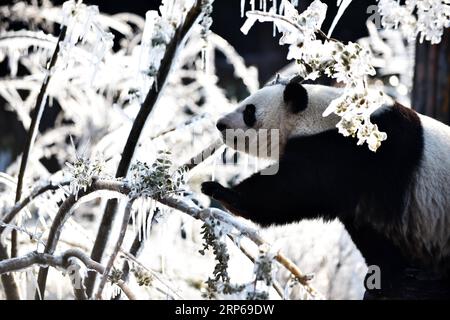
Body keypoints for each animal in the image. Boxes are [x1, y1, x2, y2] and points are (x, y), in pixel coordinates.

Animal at [202, 76, 450, 298]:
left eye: (249, 111)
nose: (220, 124)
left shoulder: (357, 151)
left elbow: (289, 190)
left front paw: (221, 191)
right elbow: (370, 231)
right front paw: (387, 276)